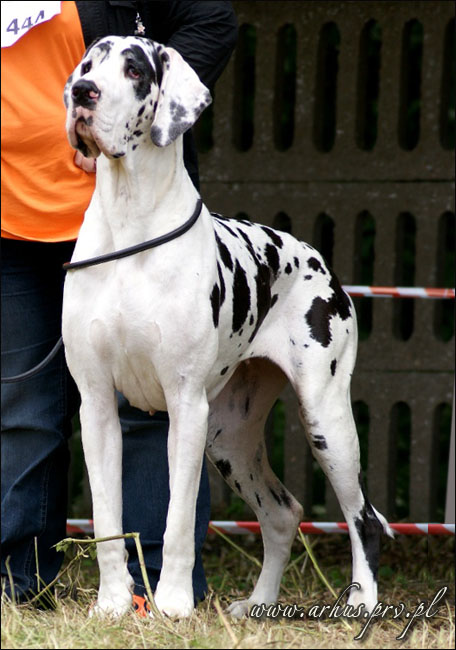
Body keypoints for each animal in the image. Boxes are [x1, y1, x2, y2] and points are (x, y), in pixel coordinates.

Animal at [62, 35, 392, 619]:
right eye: (88, 64)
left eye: (134, 69)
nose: (83, 91)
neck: (129, 219)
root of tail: (316, 258)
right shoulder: (96, 406)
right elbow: (106, 519)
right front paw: (113, 605)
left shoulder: (184, 406)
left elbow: (176, 520)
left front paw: (172, 605)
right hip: (230, 437)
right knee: (283, 512)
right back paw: (258, 603)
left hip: (325, 419)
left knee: (364, 518)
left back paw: (362, 603)